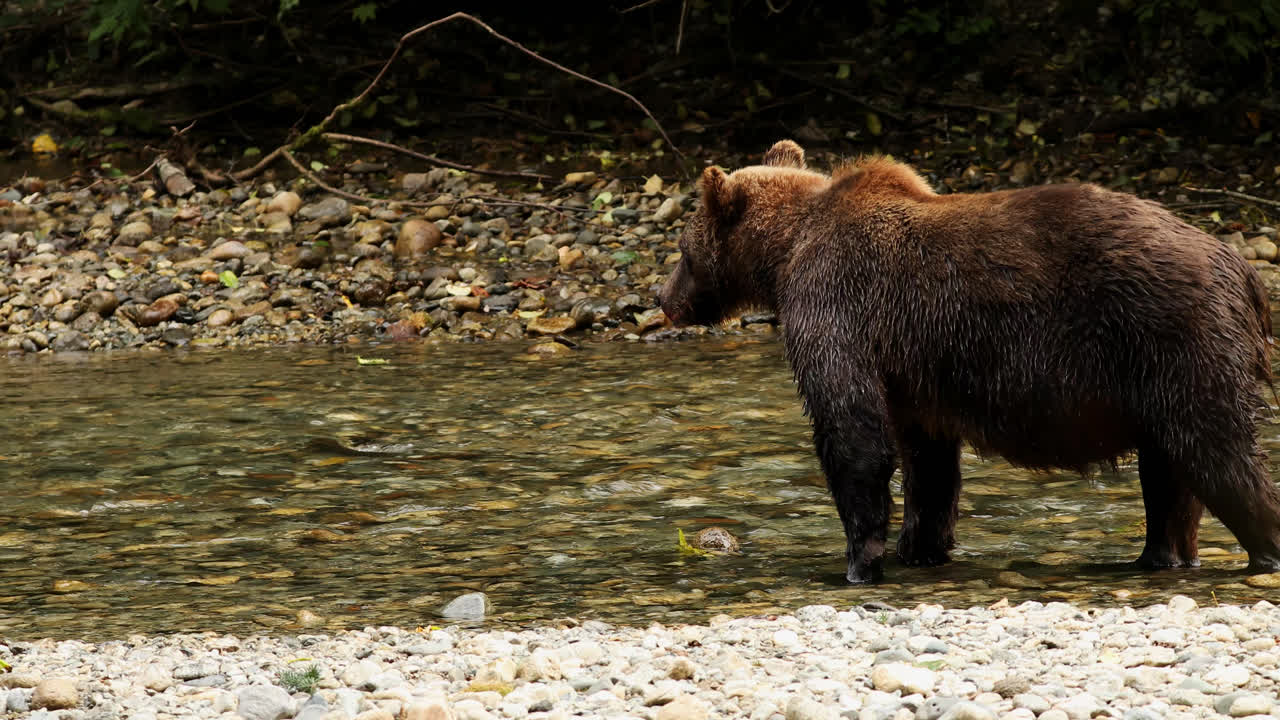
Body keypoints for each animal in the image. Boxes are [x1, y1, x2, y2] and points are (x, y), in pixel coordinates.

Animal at [657, 139, 1280, 583]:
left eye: (683, 251)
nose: (663, 299)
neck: (785, 254)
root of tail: (1241, 270)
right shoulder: (914, 369)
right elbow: (928, 461)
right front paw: (918, 546)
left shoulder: (837, 304)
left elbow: (851, 431)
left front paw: (859, 560)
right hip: (1156, 368)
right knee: (1171, 474)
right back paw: (1158, 556)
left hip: (1173, 337)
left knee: (1218, 454)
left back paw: (1261, 548)